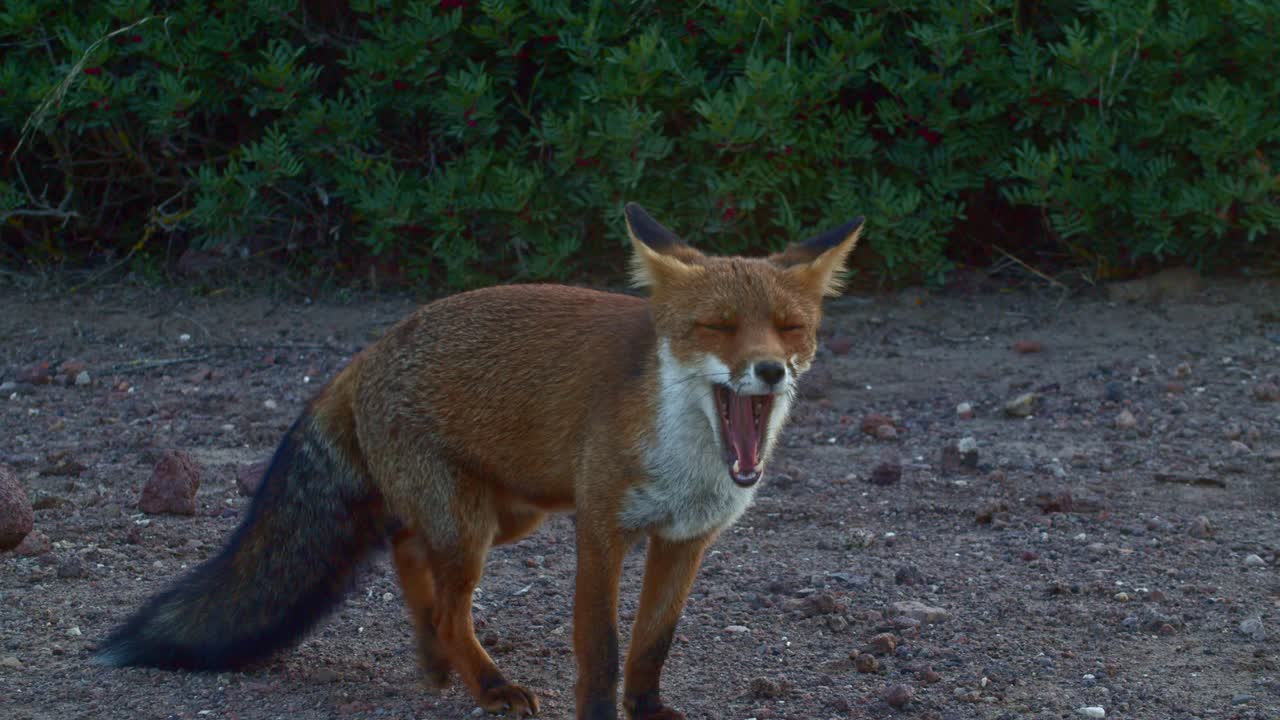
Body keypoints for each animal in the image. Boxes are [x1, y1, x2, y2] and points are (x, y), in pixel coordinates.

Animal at [95, 203, 864, 719]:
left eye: (790, 328)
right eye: (719, 327)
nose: (770, 371)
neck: (691, 462)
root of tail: (364, 355)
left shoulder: (686, 539)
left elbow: (653, 644)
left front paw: (646, 709)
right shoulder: (601, 528)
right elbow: (602, 647)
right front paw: (598, 712)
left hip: (505, 518)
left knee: (408, 549)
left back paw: (438, 663)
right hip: (473, 528)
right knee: (443, 600)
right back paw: (487, 682)